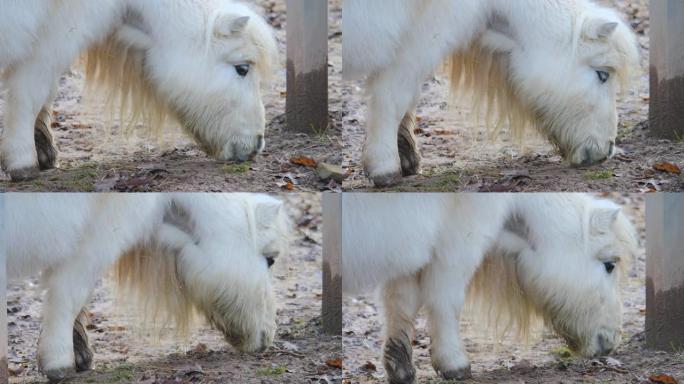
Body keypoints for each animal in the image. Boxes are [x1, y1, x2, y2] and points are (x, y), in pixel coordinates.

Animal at [0, 0, 278, 181]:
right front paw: (23, 162)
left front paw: (42, 150)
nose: (257, 144)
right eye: (242, 68)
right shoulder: (54, 35)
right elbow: (31, 92)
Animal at [344, 0, 644, 186]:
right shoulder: (425, 33)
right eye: (603, 74)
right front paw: (385, 167)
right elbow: (394, 94)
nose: (607, 150)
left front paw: (405, 155)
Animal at [344, 194, 640, 382]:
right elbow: (444, 298)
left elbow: (401, 301)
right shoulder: (458, 239)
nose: (611, 341)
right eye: (610, 265)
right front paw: (454, 364)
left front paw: (400, 368)